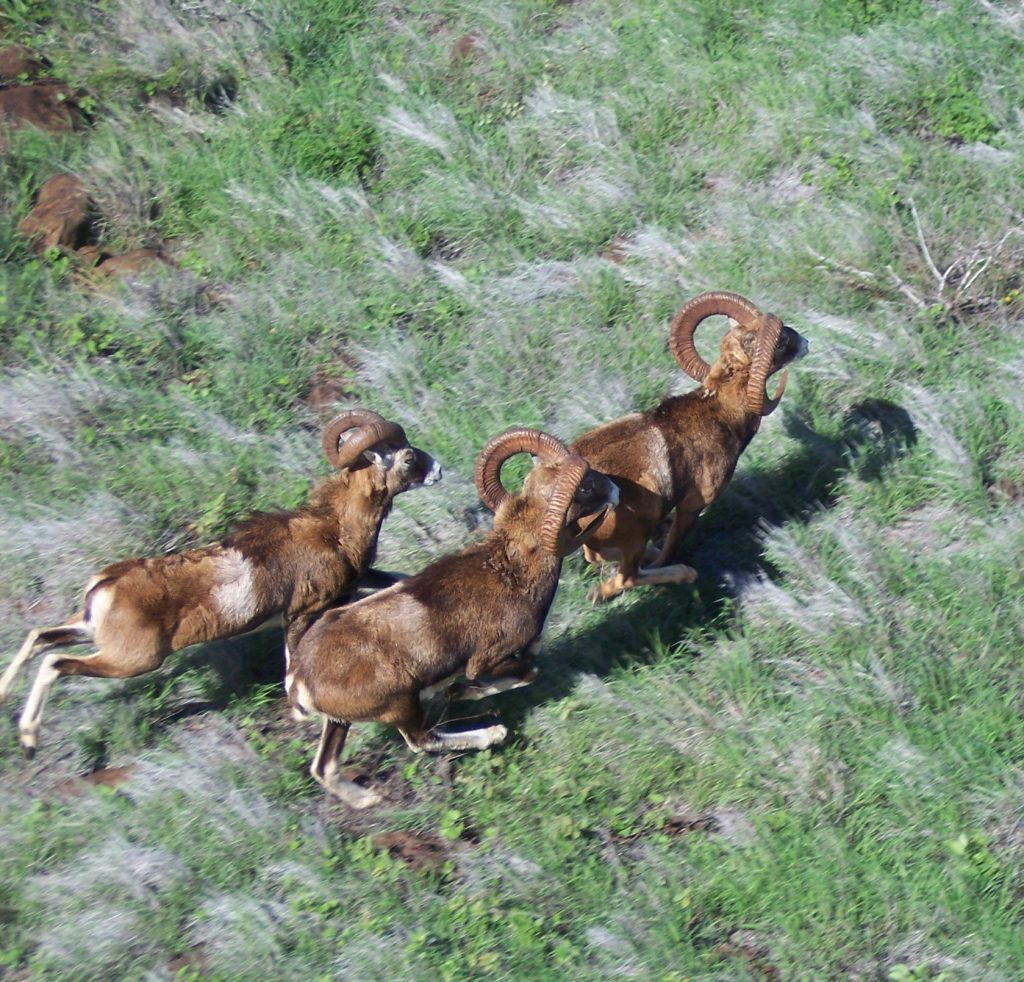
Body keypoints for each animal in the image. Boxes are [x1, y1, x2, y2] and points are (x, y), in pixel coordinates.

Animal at [1, 409, 442, 756]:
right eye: (407, 457)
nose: (438, 470)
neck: (334, 529)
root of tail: (106, 585)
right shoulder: (302, 614)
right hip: (130, 661)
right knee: (55, 663)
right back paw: (28, 739)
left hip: (87, 631)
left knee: (39, 638)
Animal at [284, 427, 620, 808]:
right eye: (586, 488)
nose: (615, 489)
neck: (513, 573)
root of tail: (299, 677)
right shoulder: (490, 660)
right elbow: (524, 674)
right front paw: (461, 692)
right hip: (402, 706)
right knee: (421, 740)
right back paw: (493, 733)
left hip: (339, 723)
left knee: (324, 767)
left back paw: (367, 800)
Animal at [571, 291, 808, 603]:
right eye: (780, 341)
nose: (805, 343)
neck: (719, 415)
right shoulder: (692, 507)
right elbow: (671, 548)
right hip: (638, 532)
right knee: (627, 577)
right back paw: (681, 574)